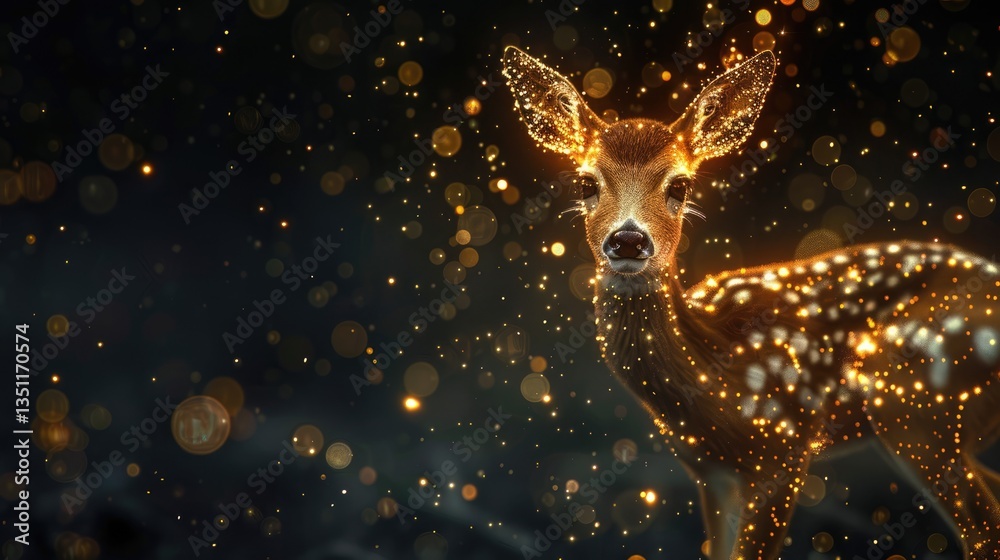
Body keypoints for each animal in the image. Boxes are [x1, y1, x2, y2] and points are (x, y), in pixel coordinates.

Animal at [502, 46, 1000, 560]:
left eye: (679, 185)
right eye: (586, 183)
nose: (628, 240)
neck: (716, 371)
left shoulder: (784, 449)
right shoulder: (710, 471)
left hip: (917, 404)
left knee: (983, 528)